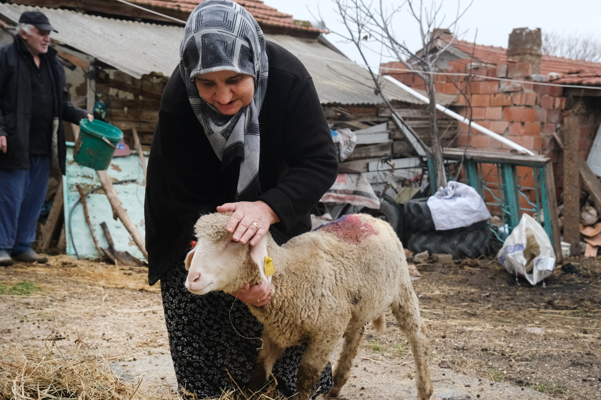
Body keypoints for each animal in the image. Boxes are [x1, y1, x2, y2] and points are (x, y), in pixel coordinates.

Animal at [184, 212, 432, 400]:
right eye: (197, 241)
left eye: (234, 241)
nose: (192, 279)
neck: (292, 276)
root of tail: (371, 217)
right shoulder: (274, 332)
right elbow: (259, 371)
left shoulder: (327, 334)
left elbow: (305, 378)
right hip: (358, 307)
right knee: (355, 336)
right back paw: (335, 387)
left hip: (402, 287)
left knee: (418, 335)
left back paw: (425, 389)